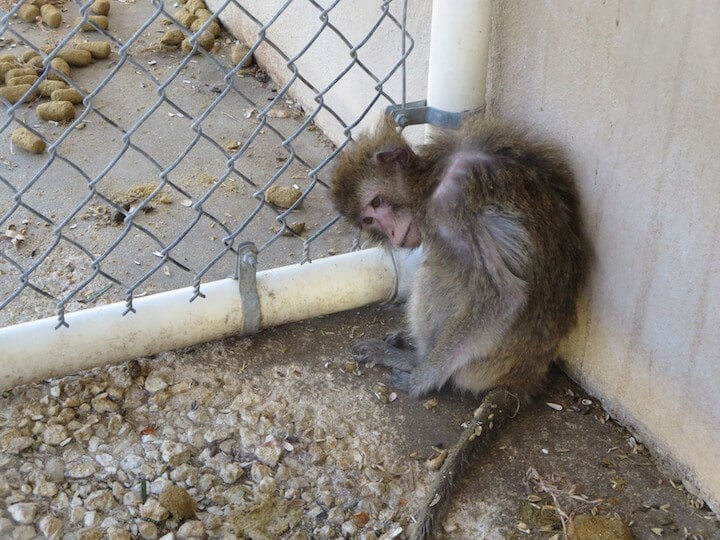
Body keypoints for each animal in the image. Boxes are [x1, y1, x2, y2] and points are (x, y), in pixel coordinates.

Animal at [330, 114, 589, 539]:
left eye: (378, 202)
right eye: (369, 218)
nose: (390, 232)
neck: (431, 177)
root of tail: (524, 375)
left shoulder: (448, 207)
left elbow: (501, 296)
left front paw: (420, 377)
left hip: (483, 361)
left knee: (442, 267)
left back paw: (415, 360)